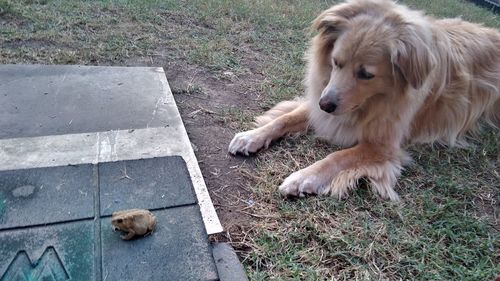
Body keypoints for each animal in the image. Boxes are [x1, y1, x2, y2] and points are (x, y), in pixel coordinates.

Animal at [229, 0, 498, 199]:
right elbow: (284, 119)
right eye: (335, 62)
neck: (378, 99)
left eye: (366, 74)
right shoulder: (323, 102)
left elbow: (340, 156)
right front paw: (252, 136)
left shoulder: (383, 145)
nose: (325, 105)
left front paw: (305, 176)